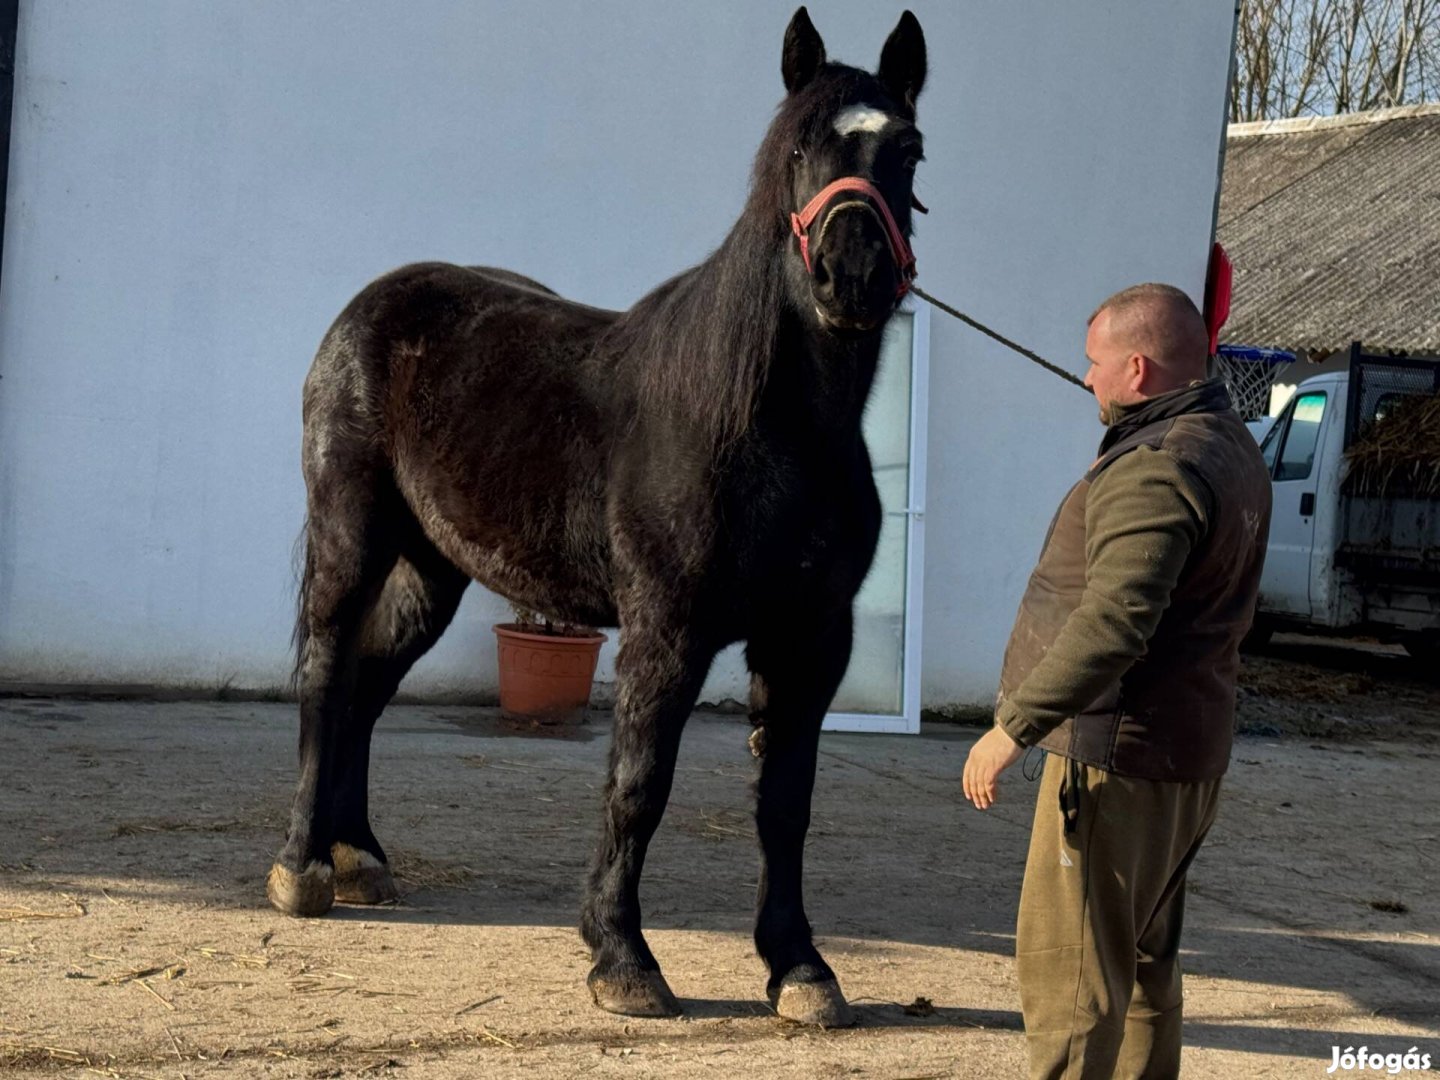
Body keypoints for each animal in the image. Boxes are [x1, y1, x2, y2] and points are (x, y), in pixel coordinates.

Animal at [269, 6, 921, 1025]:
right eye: (798, 148)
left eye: (909, 151)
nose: (851, 273)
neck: (765, 424)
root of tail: (370, 307)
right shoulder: (667, 628)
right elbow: (638, 784)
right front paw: (623, 958)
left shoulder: (812, 637)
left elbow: (786, 803)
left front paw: (802, 968)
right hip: (352, 538)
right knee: (327, 674)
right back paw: (303, 868)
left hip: (433, 570)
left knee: (368, 687)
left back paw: (360, 855)